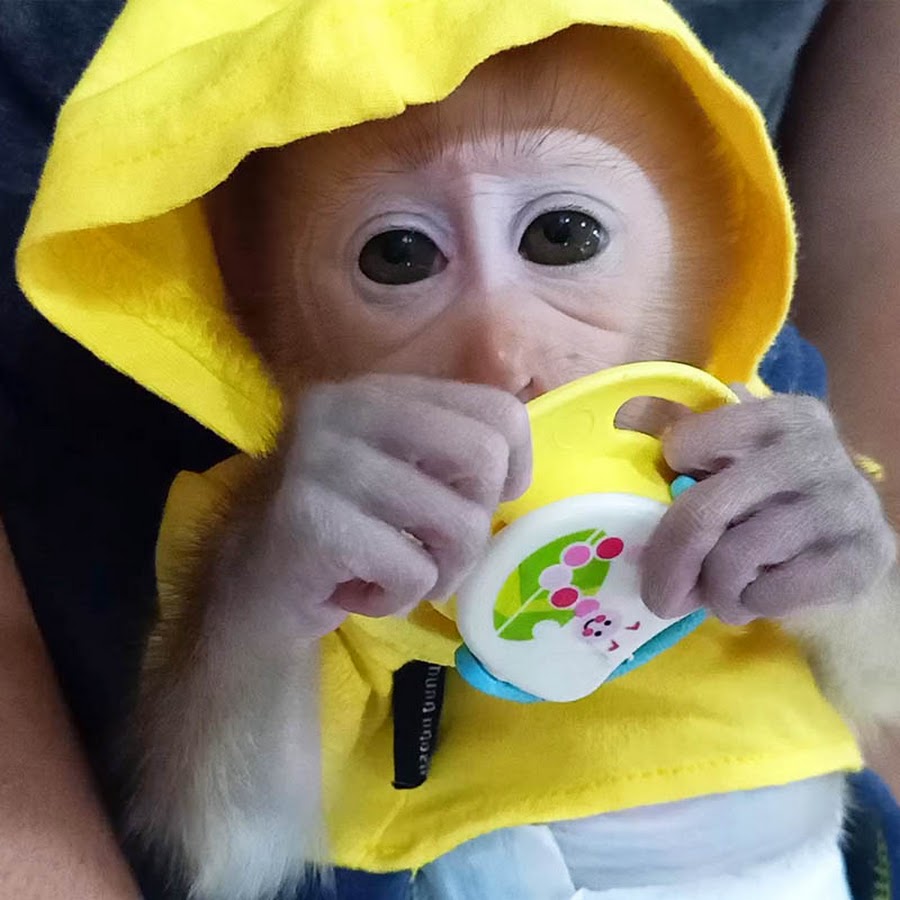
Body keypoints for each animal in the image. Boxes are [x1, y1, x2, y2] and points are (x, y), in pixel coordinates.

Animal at [16, 7, 900, 900]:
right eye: (399, 256)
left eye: (562, 235)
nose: (504, 359)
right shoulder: (207, 506)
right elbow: (237, 841)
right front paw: (318, 513)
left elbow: (880, 694)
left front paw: (810, 497)